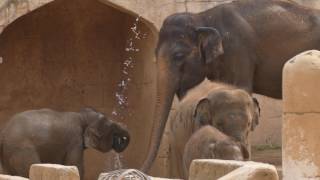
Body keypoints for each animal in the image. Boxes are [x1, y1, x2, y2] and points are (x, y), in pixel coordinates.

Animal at [0, 107, 130, 178]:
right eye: (112, 129)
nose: (121, 139)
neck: (82, 116)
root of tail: (3, 132)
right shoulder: (75, 140)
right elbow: (75, 165)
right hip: (22, 150)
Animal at [141, 0, 320, 172]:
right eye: (154, 53)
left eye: (178, 55)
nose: (141, 169)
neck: (202, 17)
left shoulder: (238, 50)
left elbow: (241, 86)